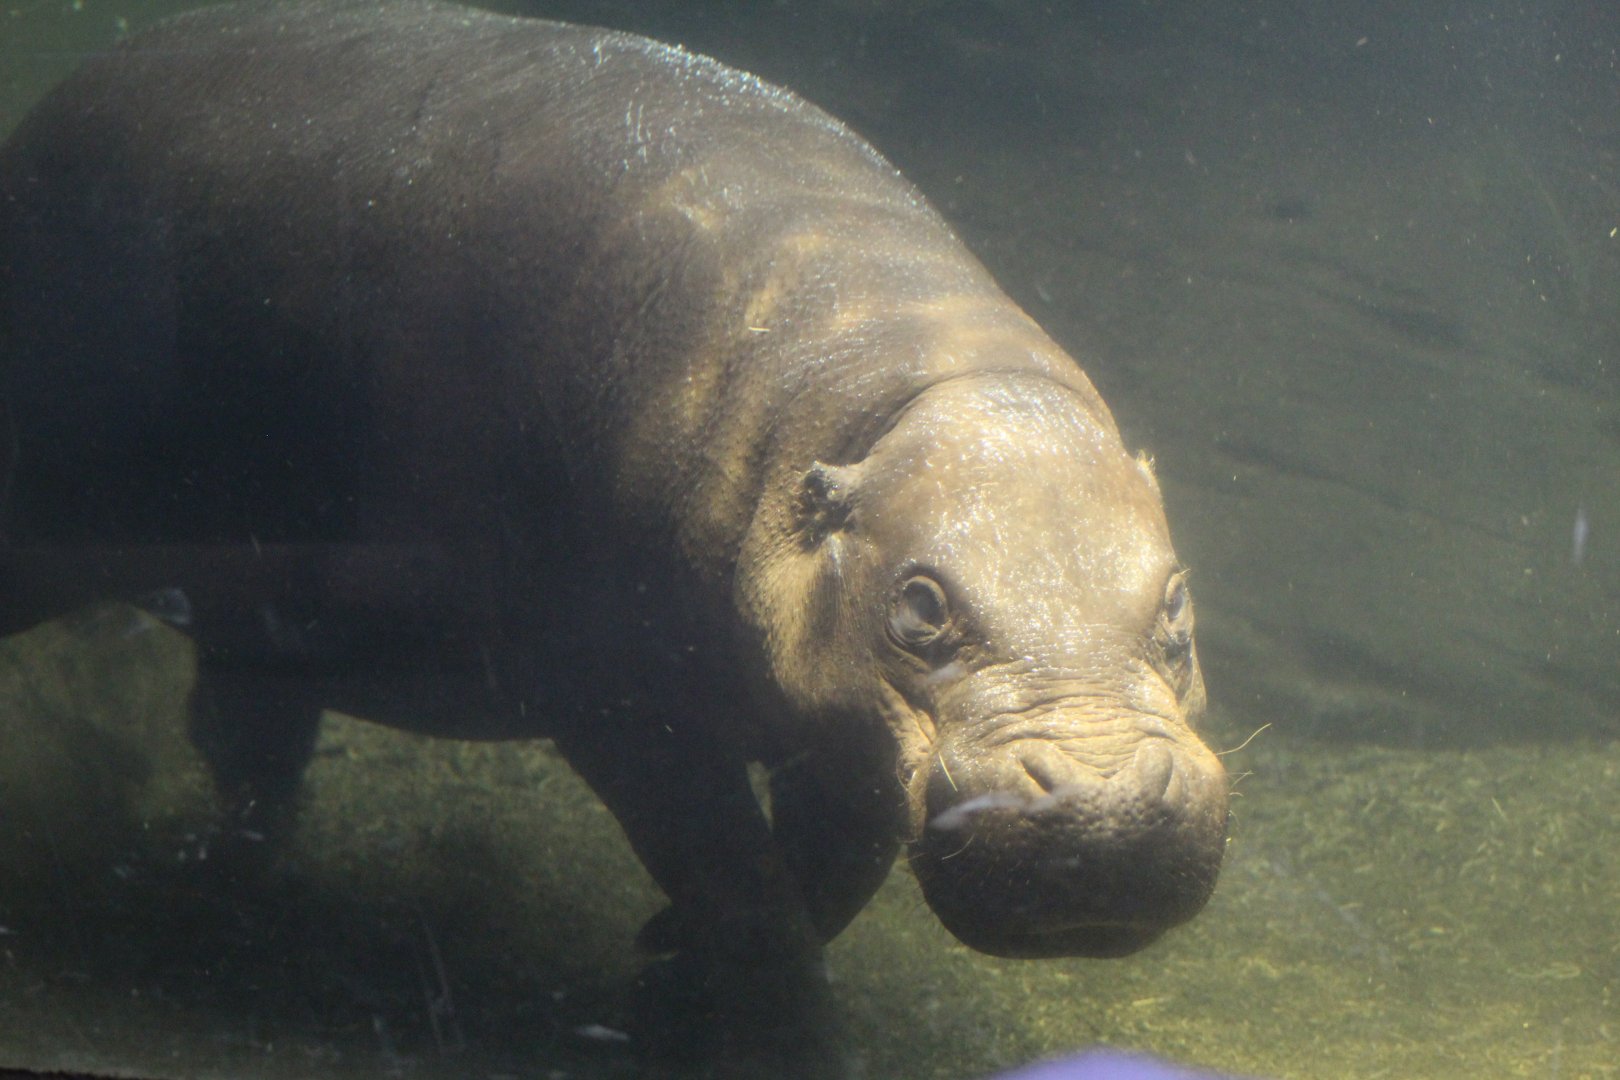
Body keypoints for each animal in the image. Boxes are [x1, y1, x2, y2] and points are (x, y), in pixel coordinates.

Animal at [0, 0, 1228, 1073]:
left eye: (1176, 601)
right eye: (920, 607)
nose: (1112, 809)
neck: (886, 396)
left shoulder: (840, 731)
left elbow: (829, 870)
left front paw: (665, 966)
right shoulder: (627, 706)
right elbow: (742, 883)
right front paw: (761, 1024)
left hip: (266, 618)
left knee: (249, 741)